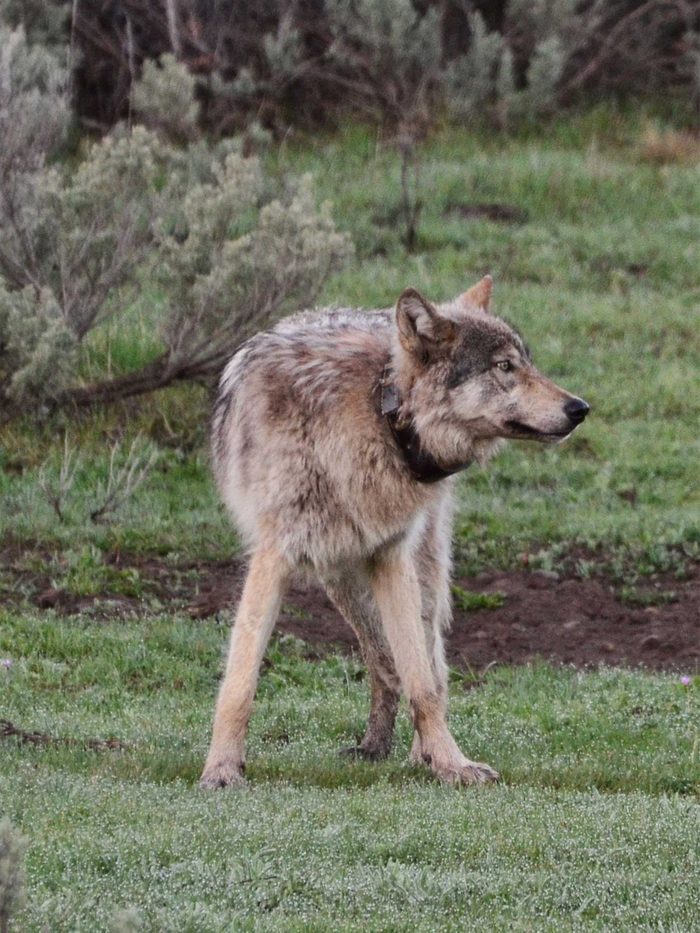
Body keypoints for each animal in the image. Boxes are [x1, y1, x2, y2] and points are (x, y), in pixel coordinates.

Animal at [200, 275, 589, 789]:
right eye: (505, 367)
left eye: (526, 363)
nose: (580, 407)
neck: (379, 417)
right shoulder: (273, 557)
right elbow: (239, 683)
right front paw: (222, 770)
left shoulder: (390, 556)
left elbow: (422, 685)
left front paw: (452, 764)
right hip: (337, 577)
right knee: (380, 659)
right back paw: (374, 745)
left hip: (417, 570)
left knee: (427, 664)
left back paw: (415, 753)